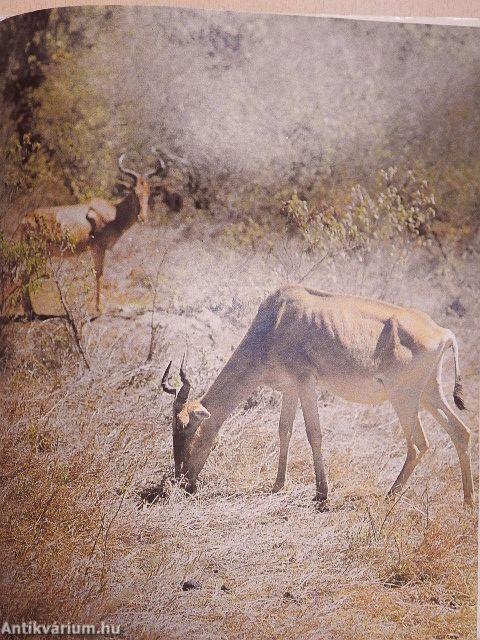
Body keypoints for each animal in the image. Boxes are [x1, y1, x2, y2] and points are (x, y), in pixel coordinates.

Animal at [20, 155, 165, 316]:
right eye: (134, 191)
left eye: (148, 191)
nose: (142, 218)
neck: (113, 212)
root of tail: (26, 218)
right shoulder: (98, 248)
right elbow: (99, 274)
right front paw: (99, 308)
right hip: (37, 252)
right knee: (23, 275)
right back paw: (30, 312)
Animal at [161, 284, 472, 504]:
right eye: (172, 431)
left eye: (189, 430)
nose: (183, 484)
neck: (278, 319)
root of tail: (443, 333)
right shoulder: (290, 388)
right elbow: (284, 430)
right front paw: (277, 485)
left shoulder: (306, 382)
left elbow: (314, 433)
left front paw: (322, 493)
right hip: (429, 394)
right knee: (461, 432)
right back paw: (467, 503)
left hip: (404, 398)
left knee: (419, 444)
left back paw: (388, 497)